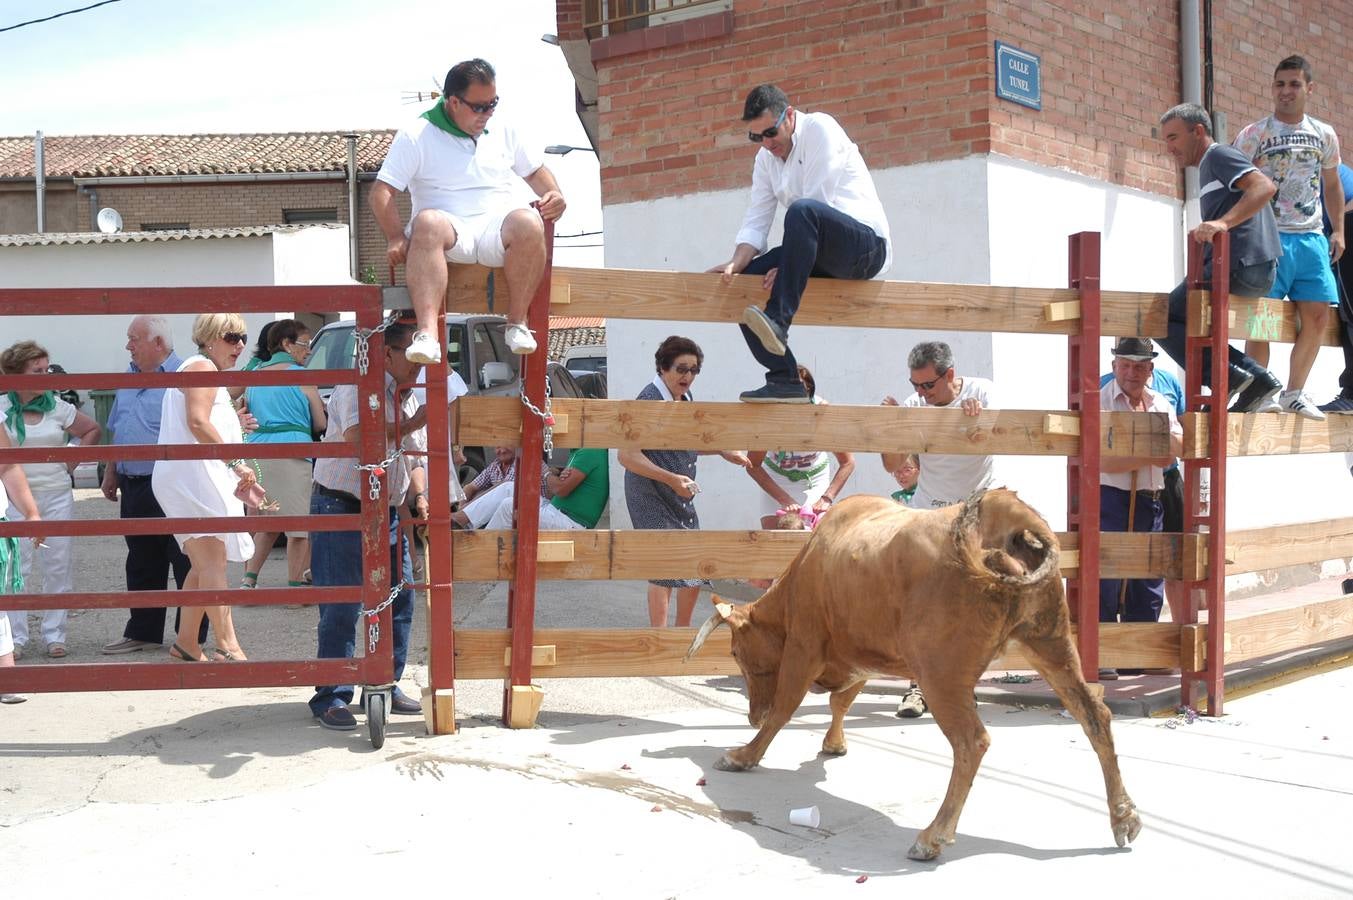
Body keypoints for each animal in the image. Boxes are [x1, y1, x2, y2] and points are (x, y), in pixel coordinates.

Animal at [687, 487, 1141, 860]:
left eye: (734, 651)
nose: (752, 716)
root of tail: (1009, 515)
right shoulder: (862, 654)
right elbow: (841, 699)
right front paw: (833, 744)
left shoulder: (804, 645)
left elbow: (786, 706)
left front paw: (743, 754)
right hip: (1053, 645)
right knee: (1094, 716)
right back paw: (1123, 818)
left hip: (942, 674)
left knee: (971, 741)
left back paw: (932, 836)